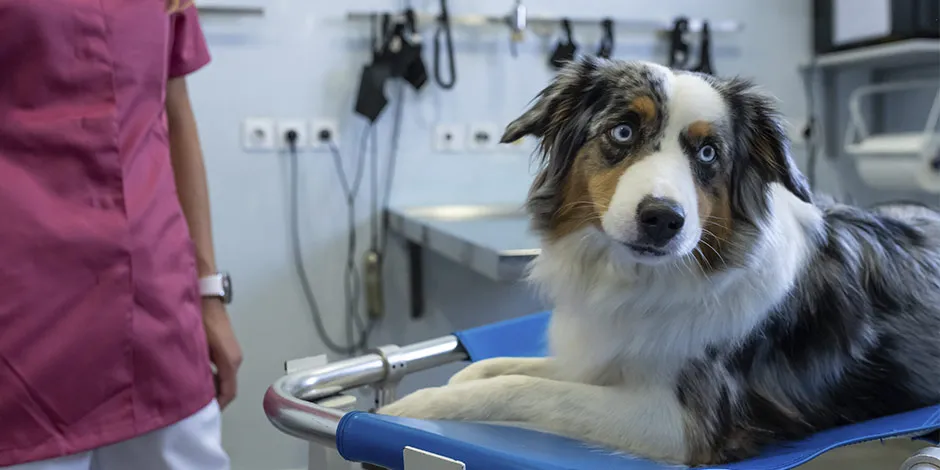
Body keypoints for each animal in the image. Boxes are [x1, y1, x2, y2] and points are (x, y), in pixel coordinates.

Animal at [378, 57, 940, 464]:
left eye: (709, 153)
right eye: (623, 132)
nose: (662, 219)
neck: (647, 278)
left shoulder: (680, 422)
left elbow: (527, 389)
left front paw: (418, 406)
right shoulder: (606, 358)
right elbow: (508, 367)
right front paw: (461, 379)